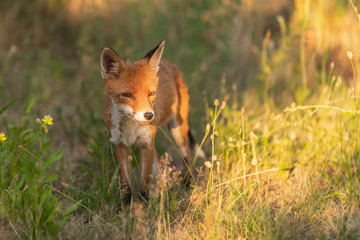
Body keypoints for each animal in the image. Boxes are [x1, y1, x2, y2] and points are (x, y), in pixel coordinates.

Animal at [100, 40, 202, 199]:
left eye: (151, 93)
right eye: (127, 95)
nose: (149, 115)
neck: (131, 127)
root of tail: (168, 63)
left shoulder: (146, 143)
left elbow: (145, 182)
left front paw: (144, 201)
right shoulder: (119, 143)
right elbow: (125, 183)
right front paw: (127, 203)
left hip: (177, 130)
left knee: (187, 154)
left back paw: (187, 181)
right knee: (159, 162)